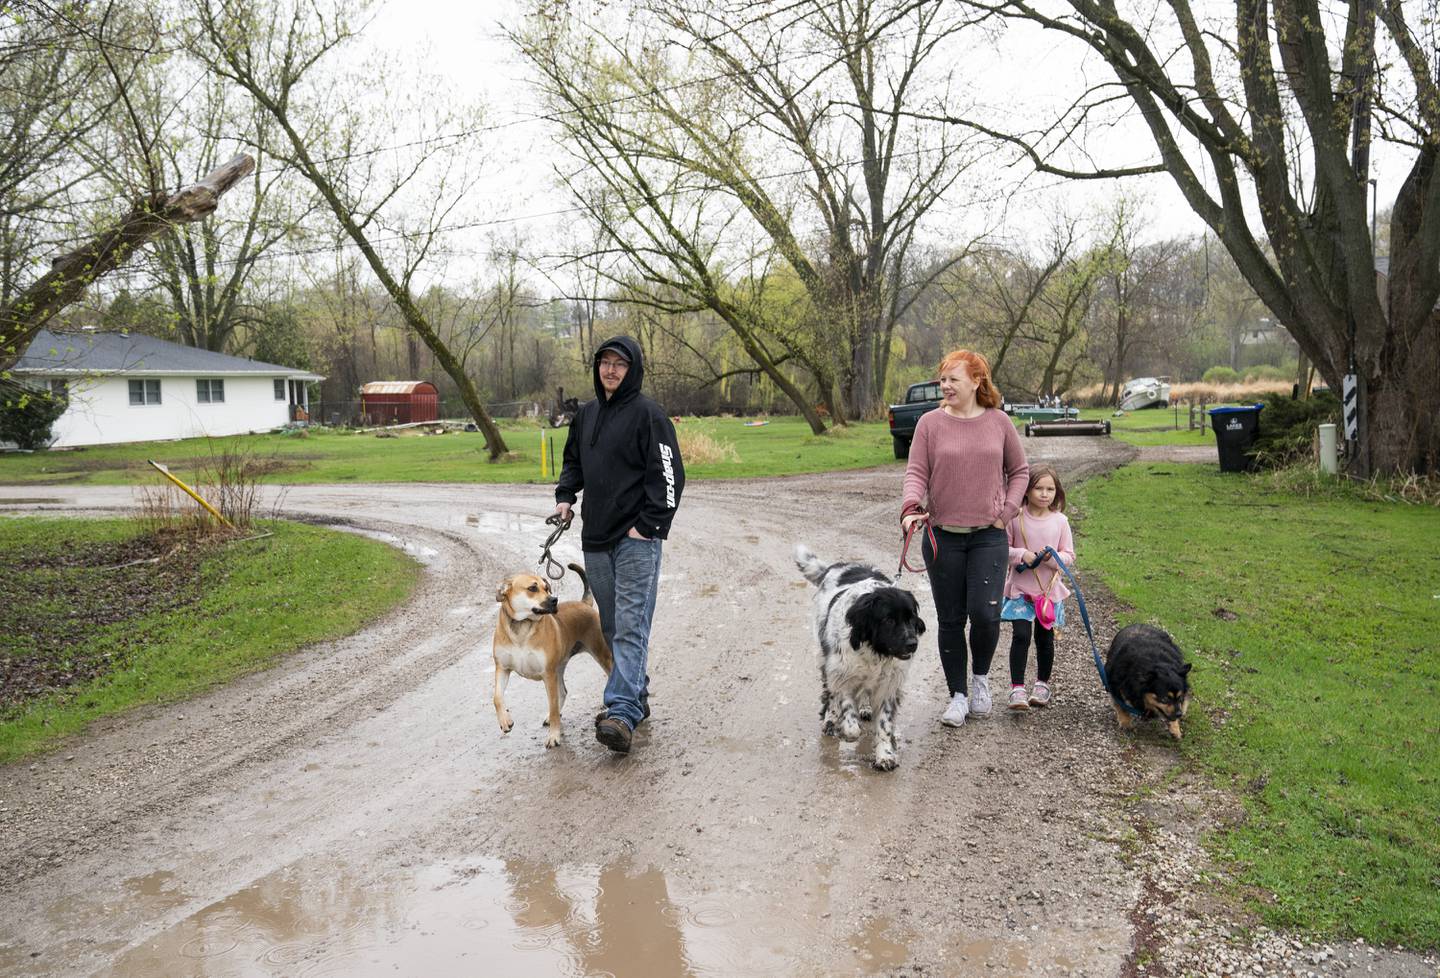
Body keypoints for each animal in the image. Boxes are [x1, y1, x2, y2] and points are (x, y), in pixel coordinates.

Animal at [492, 561, 610, 743]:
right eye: (532, 588)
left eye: (547, 588)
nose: (554, 600)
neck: (522, 627)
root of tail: (584, 603)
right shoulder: (502, 668)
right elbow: (497, 697)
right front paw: (505, 721)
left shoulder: (548, 674)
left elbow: (553, 706)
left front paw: (554, 736)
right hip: (559, 667)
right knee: (563, 691)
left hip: (600, 653)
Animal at [794, 547, 927, 766]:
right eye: (888, 620)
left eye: (911, 619)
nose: (912, 644)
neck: (873, 649)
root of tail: (836, 566)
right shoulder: (841, 673)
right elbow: (848, 714)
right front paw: (846, 729)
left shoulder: (888, 683)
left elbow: (884, 723)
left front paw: (885, 755)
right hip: (825, 658)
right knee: (830, 694)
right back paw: (831, 720)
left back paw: (864, 708)